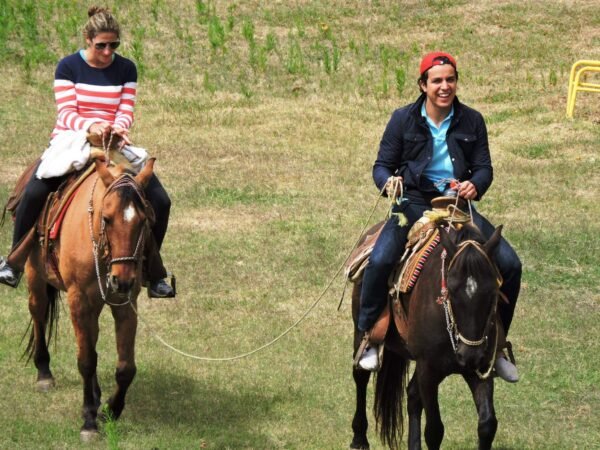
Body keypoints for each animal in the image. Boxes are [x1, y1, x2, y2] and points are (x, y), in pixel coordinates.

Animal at [24, 157, 155, 440]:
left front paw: (110, 410)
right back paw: (44, 373)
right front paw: (88, 421)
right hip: (34, 273)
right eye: (107, 218)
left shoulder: (126, 303)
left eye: (144, 220)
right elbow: (85, 360)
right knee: (38, 311)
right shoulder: (79, 300)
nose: (122, 280)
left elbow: (125, 366)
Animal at [350, 223, 504, 450]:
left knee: (413, 395)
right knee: (360, 375)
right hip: (361, 331)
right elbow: (434, 430)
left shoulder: (481, 367)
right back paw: (359, 438)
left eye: (492, 292)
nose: (469, 355)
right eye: (451, 290)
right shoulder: (428, 370)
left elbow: (487, 424)